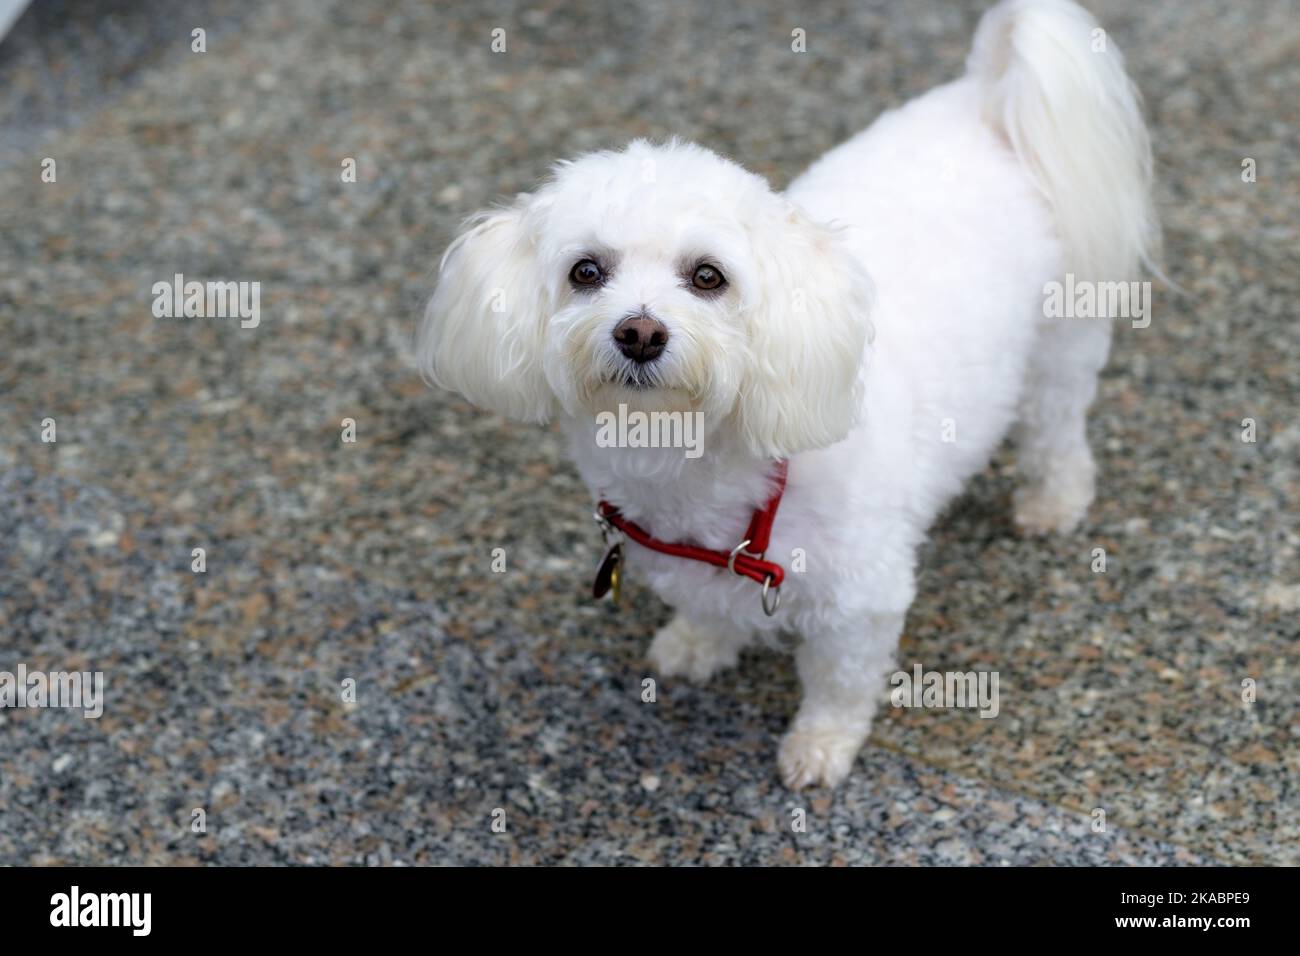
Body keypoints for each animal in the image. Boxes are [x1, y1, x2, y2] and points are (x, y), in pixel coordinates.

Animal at [418, 0, 1159, 790]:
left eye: (707, 276)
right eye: (586, 271)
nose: (640, 332)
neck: (703, 460)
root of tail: (987, 99)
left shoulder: (862, 596)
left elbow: (841, 680)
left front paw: (820, 747)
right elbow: (709, 610)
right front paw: (696, 644)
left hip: (1060, 344)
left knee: (1057, 430)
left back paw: (1053, 503)